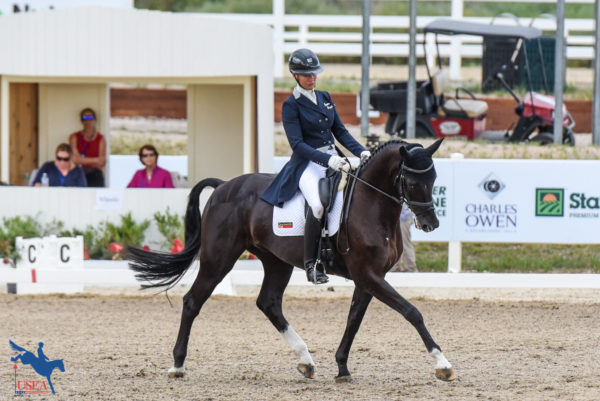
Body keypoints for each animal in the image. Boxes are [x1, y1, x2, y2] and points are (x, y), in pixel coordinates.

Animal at [127, 138, 454, 382]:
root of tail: (223, 186)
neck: (370, 205)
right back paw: (178, 365)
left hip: (276, 261)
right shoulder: (368, 275)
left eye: (434, 178)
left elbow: (354, 320)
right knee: (193, 301)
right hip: (218, 258)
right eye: (412, 182)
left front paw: (342, 367)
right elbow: (412, 312)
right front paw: (442, 364)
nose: (431, 224)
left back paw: (306, 361)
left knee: (269, 303)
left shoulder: (369, 278)